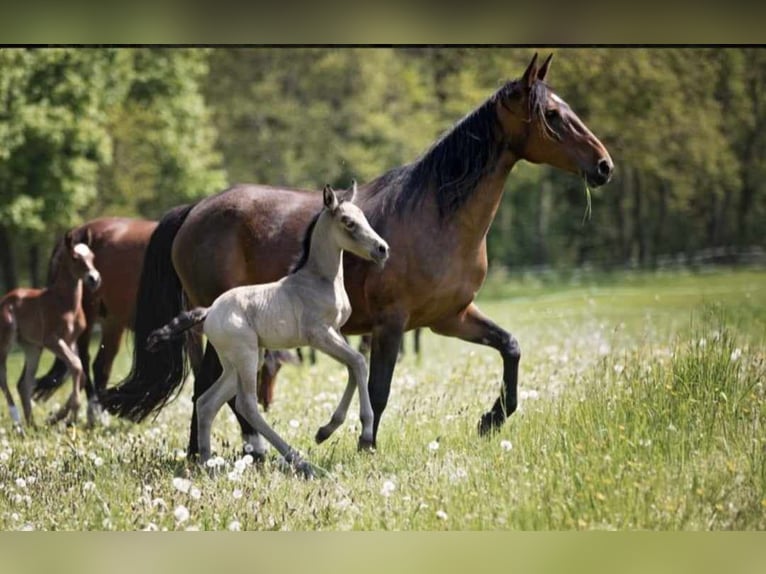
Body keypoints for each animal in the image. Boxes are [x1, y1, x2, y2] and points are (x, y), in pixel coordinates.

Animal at [0, 230, 102, 428]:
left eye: (92, 257)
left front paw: (60, 417)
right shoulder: (52, 340)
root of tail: (4, 300)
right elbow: (76, 366)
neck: (65, 303)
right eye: (75, 257)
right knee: (4, 376)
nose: (94, 279)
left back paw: (32, 426)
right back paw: (17, 422)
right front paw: (72, 415)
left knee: (23, 383)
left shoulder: (70, 341)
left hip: (33, 347)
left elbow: (80, 372)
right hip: (7, 341)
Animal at [145, 184, 390, 476]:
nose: (382, 249)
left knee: (206, 403)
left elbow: (353, 368)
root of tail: (209, 310)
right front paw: (365, 436)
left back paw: (206, 463)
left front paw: (325, 431)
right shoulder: (319, 336)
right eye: (348, 222)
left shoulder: (336, 333)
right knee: (246, 405)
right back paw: (300, 462)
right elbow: (359, 363)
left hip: (236, 363)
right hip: (247, 356)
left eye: (363, 217)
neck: (318, 280)